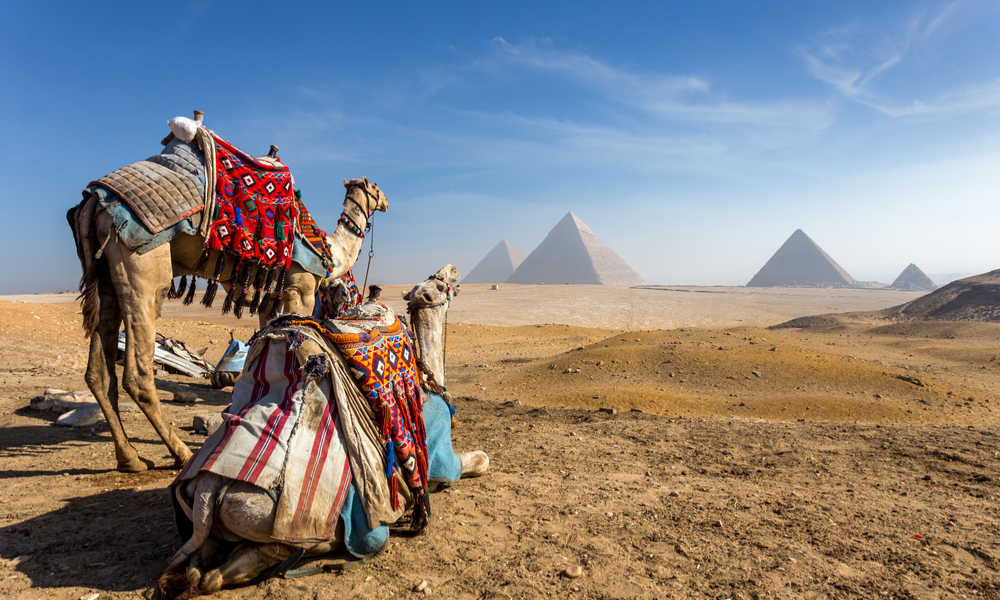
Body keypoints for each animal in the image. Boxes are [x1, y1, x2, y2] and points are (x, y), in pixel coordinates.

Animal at [69, 171, 386, 472]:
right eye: (376, 188)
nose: (385, 202)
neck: (331, 251)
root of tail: (93, 201)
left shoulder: (271, 301)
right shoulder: (301, 290)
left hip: (105, 273)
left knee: (98, 371)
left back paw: (130, 459)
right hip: (141, 262)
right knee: (137, 372)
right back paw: (181, 454)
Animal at [156, 268, 492, 600]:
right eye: (439, 285)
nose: (452, 272)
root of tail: (208, 487)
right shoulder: (439, 456)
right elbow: (479, 460)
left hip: (208, 517)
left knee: (203, 561)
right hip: (286, 521)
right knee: (249, 562)